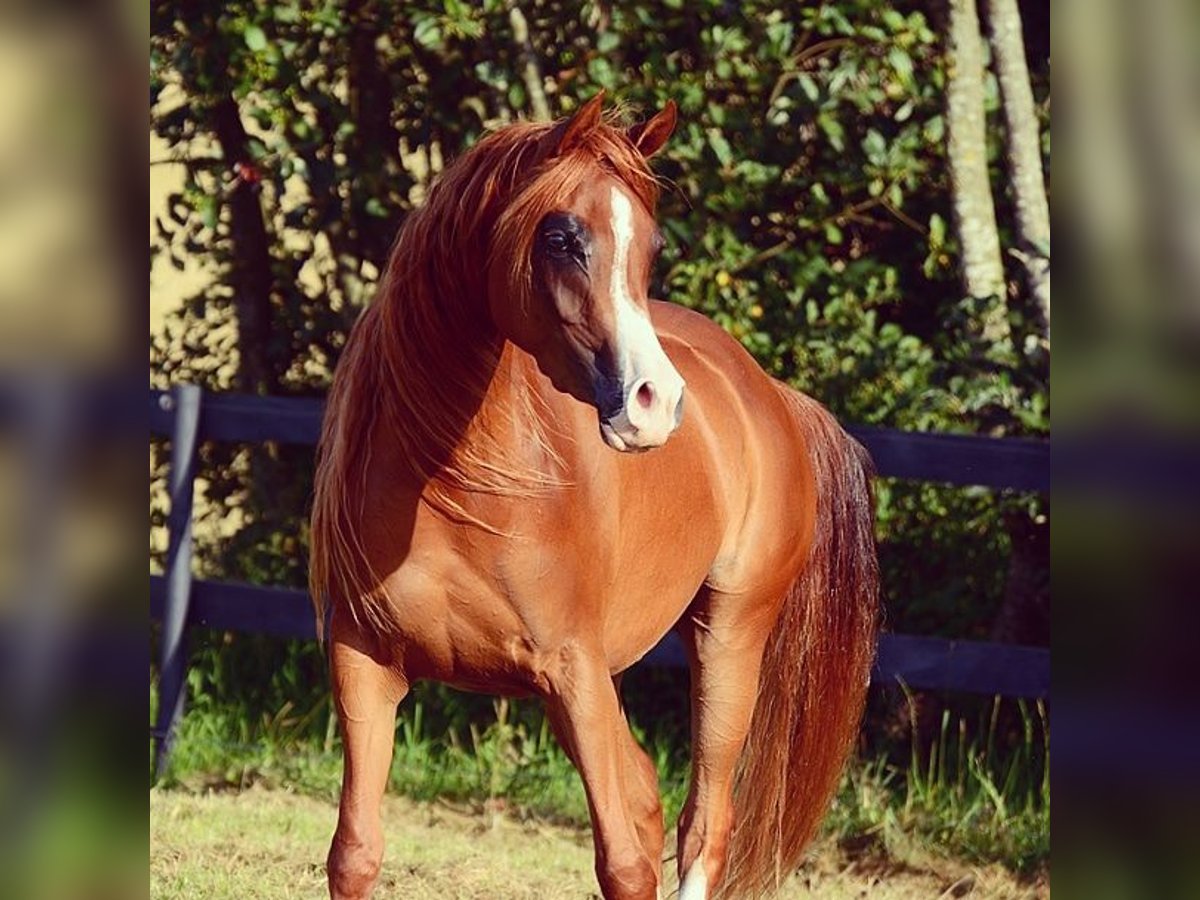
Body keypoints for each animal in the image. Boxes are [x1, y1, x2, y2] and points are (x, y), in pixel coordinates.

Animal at [307, 93, 873, 900]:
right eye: (561, 237)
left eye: (652, 246)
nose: (654, 402)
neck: (455, 490)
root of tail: (767, 391)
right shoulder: (364, 664)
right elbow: (354, 852)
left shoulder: (574, 671)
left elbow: (626, 861)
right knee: (650, 797)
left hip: (728, 638)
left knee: (704, 823)